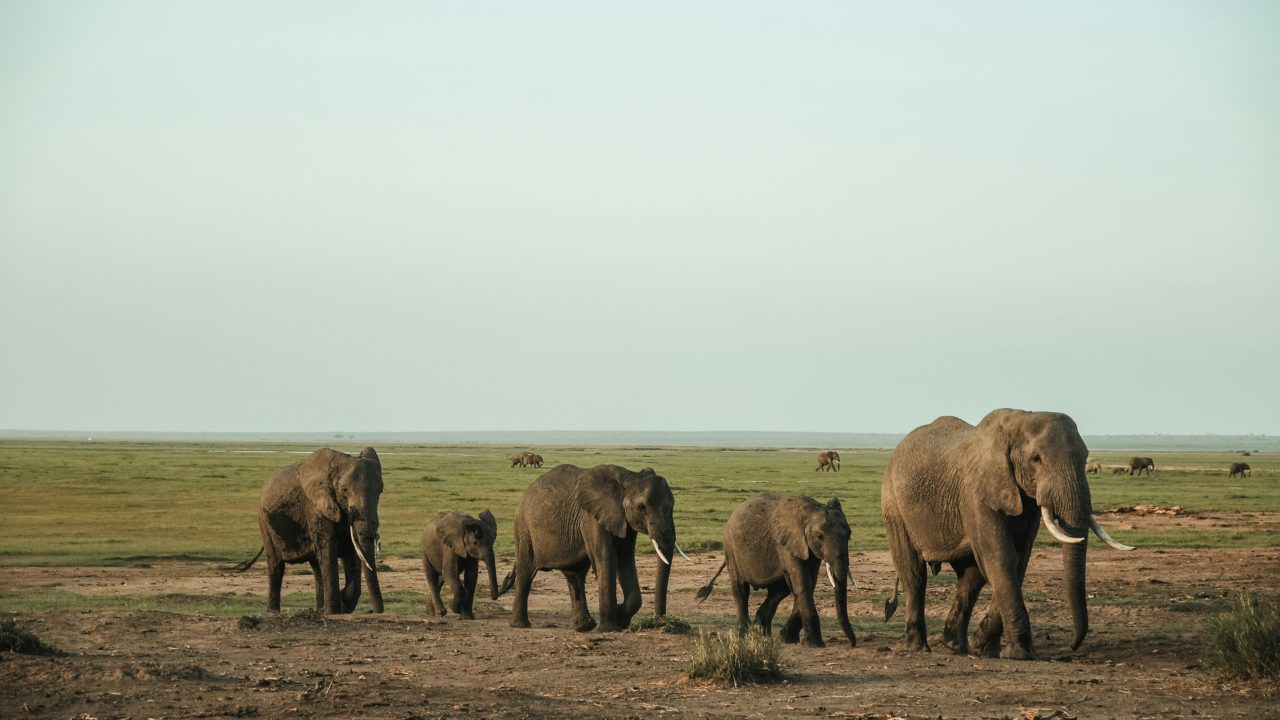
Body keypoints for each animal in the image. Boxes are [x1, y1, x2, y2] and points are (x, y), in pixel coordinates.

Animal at [233, 447, 385, 614]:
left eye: (380, 491)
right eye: (344, 490)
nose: (378, 611)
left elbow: (351, 551)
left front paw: (341, 605)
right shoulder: (315, 508)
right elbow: (328, 549)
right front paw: (333, 612)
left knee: (316, 567)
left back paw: (319, 609)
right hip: (264, 522)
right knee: (276, 565)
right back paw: (273, 612)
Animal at [505, 464, 690, 632]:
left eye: (672, 505)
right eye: (642, 507)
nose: (660, 623)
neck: (629, 478)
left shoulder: (623, 520)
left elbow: (626, 559)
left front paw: (620, 619)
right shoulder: (592, 517)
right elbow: (606, 557)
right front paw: (610, 628)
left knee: (575, 574)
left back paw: (584, 627)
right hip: (524, 528)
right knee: (526, 572)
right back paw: (521, 625)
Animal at [695, 494, 856, 648]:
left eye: (849, 535)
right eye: (820, 536)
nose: (853, 644)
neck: (810, 511)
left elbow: (809, 583)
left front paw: (788, 639)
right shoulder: (786, 543)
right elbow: (802, 582)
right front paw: (815, 645)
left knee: (779, 591)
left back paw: (762, 634)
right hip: (731, 548)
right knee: (741, 589)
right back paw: (744, 635)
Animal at [881, 409, 1134, 660]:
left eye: (1085, 458)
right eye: (1036, 459)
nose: (1072, 646)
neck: (1017, 423)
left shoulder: (1026, 502)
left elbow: (1018, 561)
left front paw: (985, 647)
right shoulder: (976, 494)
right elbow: (1001, 558)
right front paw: (1022, 653)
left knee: (970, 577)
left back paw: (954, 646)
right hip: (893, 504)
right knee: (914, 573)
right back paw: (917, 647)